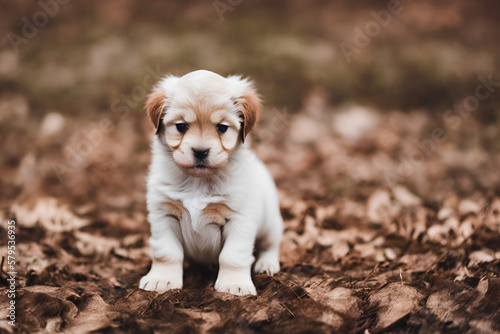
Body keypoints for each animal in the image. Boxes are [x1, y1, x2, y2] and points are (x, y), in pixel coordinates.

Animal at [139, 70, 284, 294]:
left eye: (221, 128)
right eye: (181, 126)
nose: (200, 152)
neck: (198, 182)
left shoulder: (240, 218)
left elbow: (233, 256)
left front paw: (234, 284)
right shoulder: (163, 214)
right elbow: (166, 252)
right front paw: (162, 279)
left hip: (270, 224)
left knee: (271, 244)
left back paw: (267, 264)